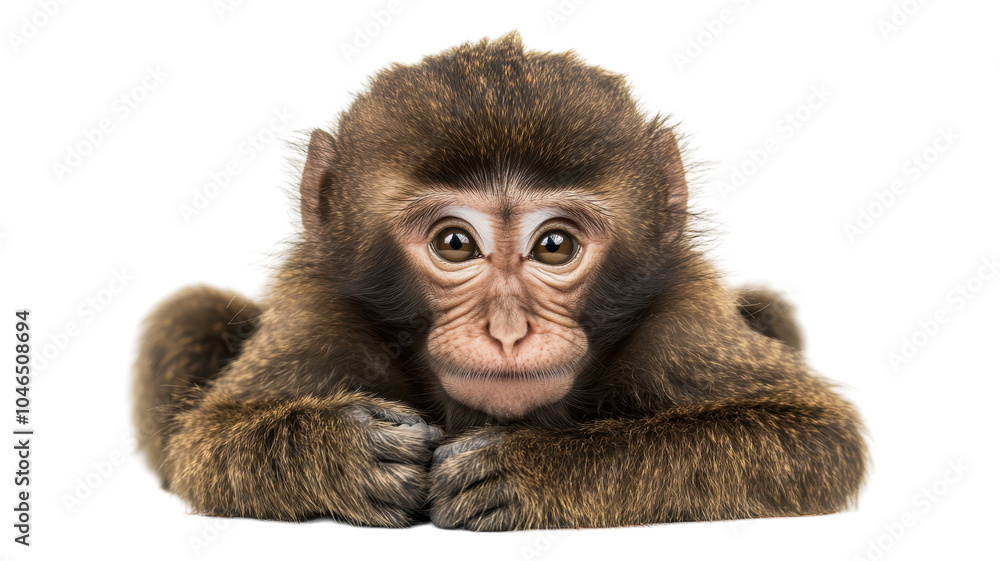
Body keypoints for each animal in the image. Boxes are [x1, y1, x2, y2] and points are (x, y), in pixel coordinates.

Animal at [133, 32, 867, 531]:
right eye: (455, 244)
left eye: (555, 245)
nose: (509, 331)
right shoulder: (320, 310)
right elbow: (207, 444)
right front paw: (348, 453)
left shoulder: (678, 316)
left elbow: (818, 439)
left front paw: (533, 466)